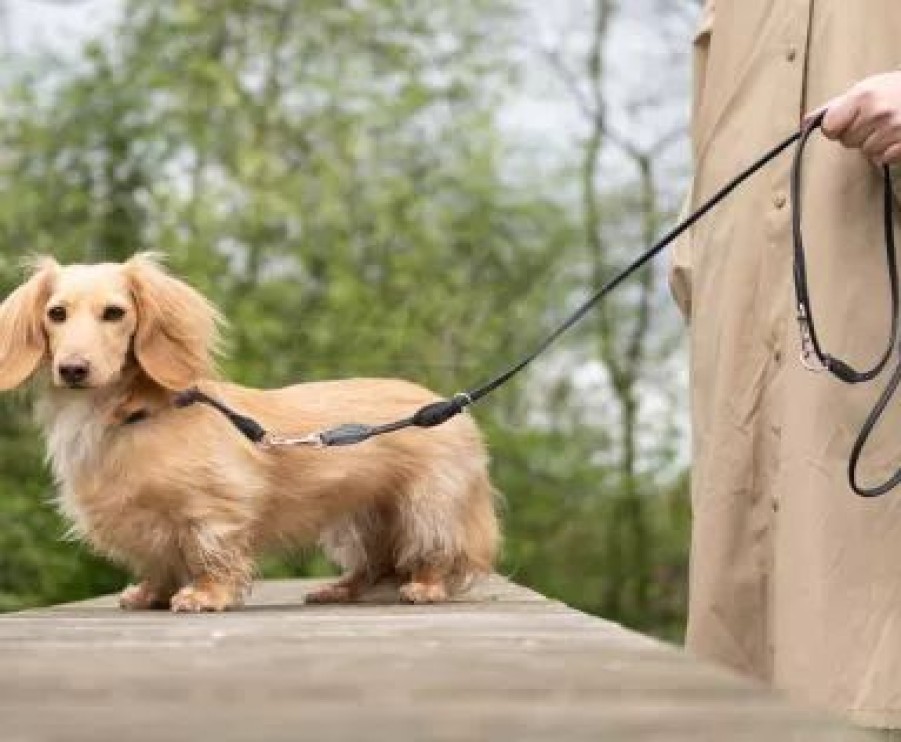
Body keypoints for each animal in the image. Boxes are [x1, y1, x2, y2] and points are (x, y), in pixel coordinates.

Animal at [0, 253, 496, 612]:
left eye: (114, 313)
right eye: (56, 313)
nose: (73, 369)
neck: (132, 413)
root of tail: (447, 405)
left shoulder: (212, 509)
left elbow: (209, 553)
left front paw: (205, 595)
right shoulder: (144, 523)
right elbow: (159, 561)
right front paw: (149, 594)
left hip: (427, 504)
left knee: (436, 549)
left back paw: (426, 586)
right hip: (364, 514)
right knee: (374, 563)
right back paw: (338, 589)